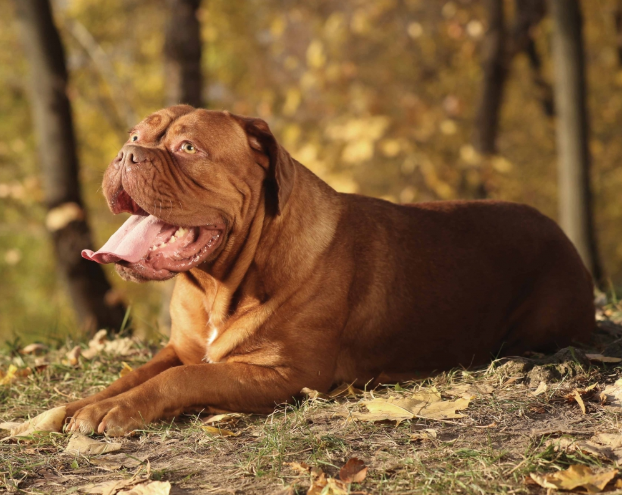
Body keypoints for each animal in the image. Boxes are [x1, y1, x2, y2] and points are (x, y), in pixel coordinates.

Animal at [66, 103, 596, 434]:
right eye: (136, 137)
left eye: (188, 149)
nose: (126, 153)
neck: (218, 284)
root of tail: (559, 231)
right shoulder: (180, 348)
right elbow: (132, 375)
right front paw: (72, 409)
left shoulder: (285, 374)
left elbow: (183, 379)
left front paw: (115, 410)